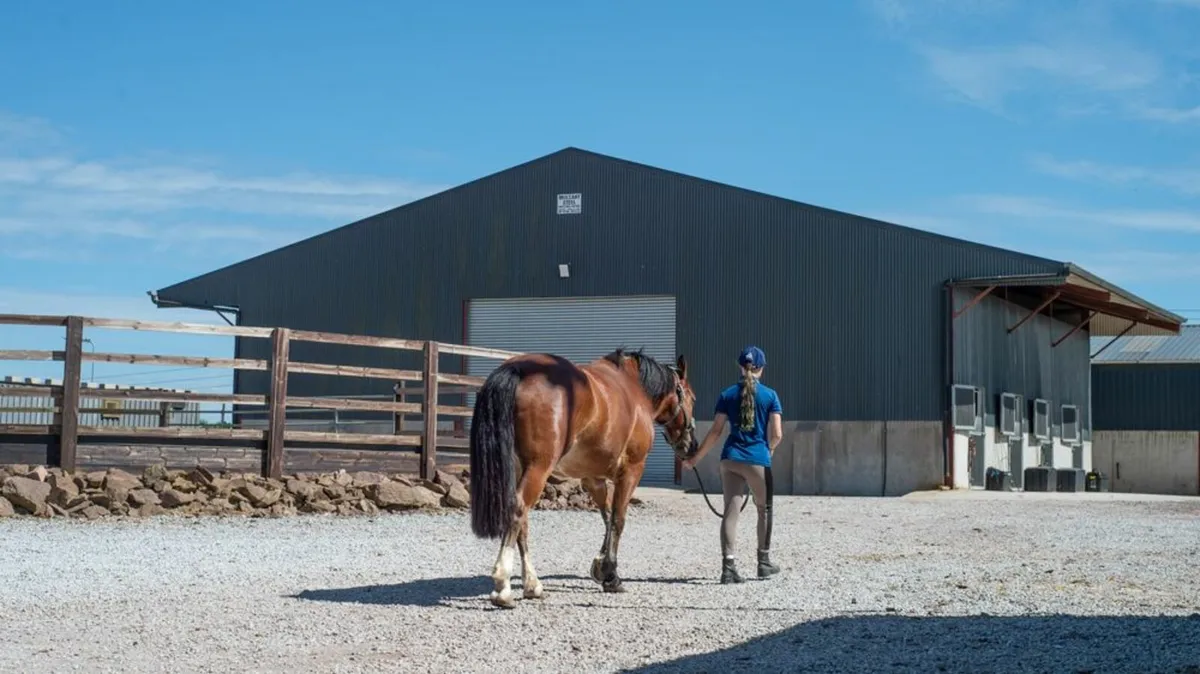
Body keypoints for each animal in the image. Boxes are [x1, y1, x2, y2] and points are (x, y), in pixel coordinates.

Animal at [465, 347, 700, 606]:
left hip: (520, 468)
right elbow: (618, 520)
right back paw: (503, 586)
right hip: (539, 468)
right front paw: (611, 576)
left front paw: (601, 568)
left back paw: (532, 585)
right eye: (692, 398)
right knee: (518, 510)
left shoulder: (592, 478)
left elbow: (607, 516)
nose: (691, 445)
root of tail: (518, 369)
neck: (635, 389)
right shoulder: (631, 471)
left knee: (521, 519)